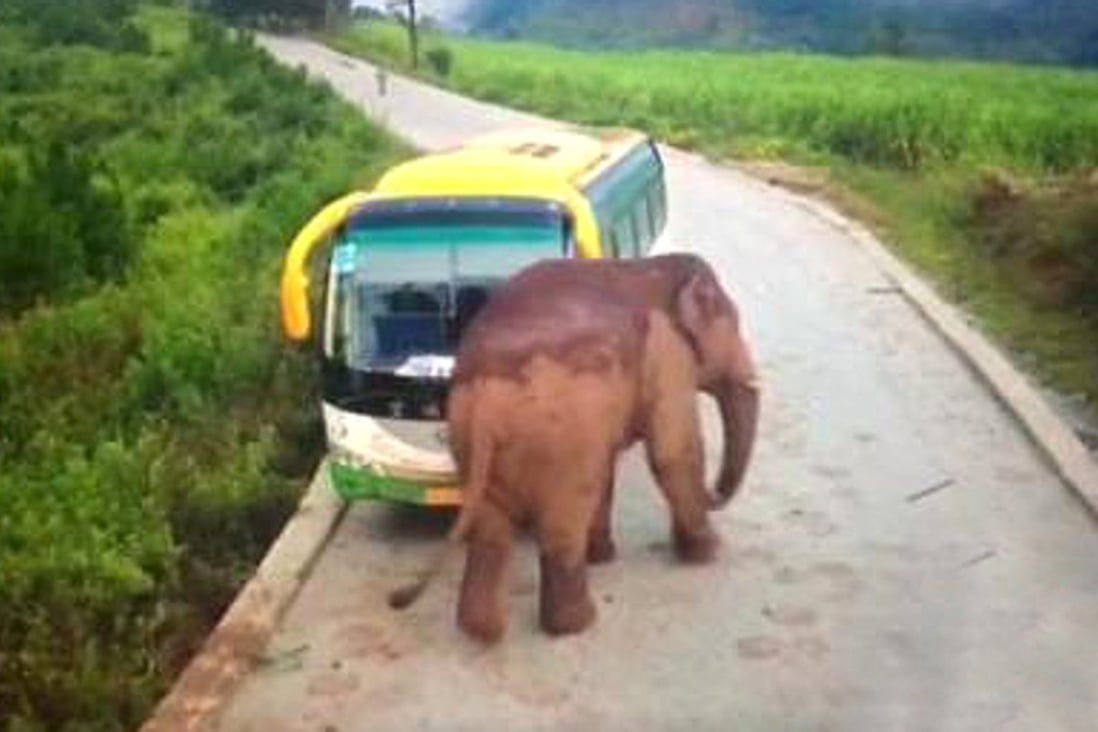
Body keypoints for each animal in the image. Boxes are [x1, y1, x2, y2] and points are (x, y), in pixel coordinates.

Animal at [388, 253, 760, 643]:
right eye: (735, 326)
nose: (715, 493)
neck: (653, 267)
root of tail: (485, 395)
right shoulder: (666, 353)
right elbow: (674, 452)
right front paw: (708, 553)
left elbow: (614, 463)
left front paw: (604, 556)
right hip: (561, 439)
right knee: (565, 517)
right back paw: (578, 623)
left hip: (476, 436)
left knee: (492, 528)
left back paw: (482, 631)